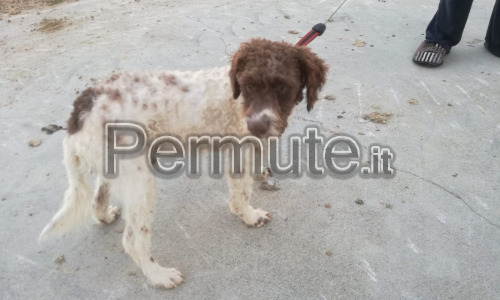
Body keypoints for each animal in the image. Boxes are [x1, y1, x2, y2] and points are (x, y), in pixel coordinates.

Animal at [40, 38, 328, 290]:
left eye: (282, 87)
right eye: (248, 86)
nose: (256, 125)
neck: (235, 99)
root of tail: (77, 114)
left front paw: (260, 174)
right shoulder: (238, 151)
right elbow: (240, 195)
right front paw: (249, 216)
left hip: (114, 168)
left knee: (96, 201)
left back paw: (105, 215)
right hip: (140, 181)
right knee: (133, 240)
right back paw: (158, 275)